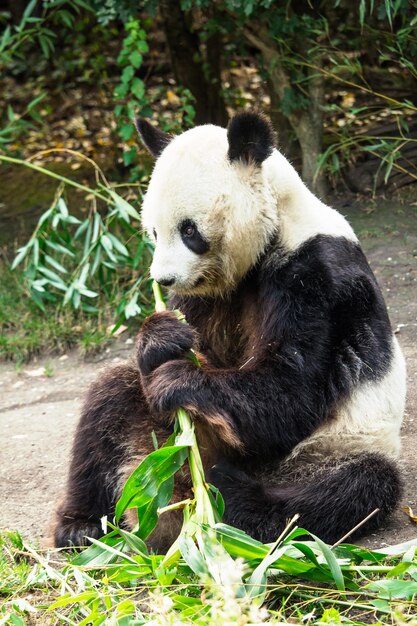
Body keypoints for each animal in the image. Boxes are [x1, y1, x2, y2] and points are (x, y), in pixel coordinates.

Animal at [52, 112, 406, 544]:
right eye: (153, 231)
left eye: (189, 230)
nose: (163, 279)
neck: (277, 226)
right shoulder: (210, 296)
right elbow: (197, 345)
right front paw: (161, 338)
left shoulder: (319, 277)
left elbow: (292, 390)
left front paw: (178, 378)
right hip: (174, 437)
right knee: (108, 400)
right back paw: (84, 526)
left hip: (331, 449)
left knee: (347, 488)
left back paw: (220, 501)